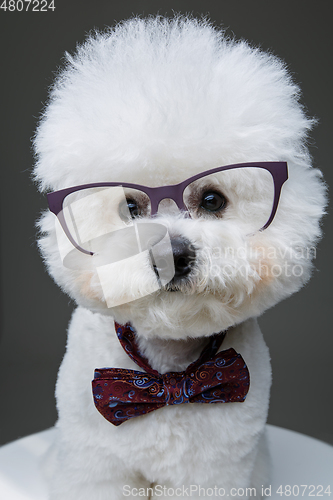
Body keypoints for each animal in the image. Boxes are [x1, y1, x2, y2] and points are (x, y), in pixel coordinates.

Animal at [33, 15, 324, 500]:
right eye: (130, 207)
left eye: (212, 200)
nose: (171, 253)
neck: (170, 373)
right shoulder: (96, 462)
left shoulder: (214, 470)